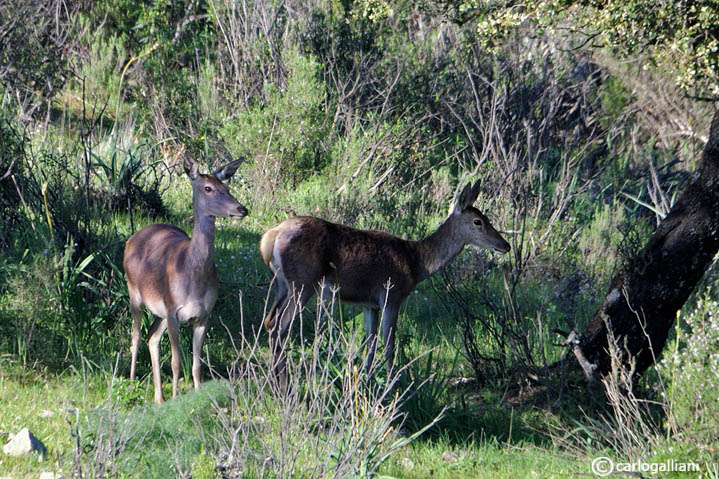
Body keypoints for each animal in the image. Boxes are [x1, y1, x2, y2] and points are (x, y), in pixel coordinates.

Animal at [124, 156, 248, 404]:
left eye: (227, 187)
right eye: (208, 188)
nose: (242, 209)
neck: (193, 280)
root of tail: (131, 239)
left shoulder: (203, 315)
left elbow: (197, 365)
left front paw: (200, 398)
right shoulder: (173, 312)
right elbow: (176, 362)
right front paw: (175, 397)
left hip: (160, 311)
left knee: (152, 337)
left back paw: (158, 397)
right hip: (134, 293)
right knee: (136, 336)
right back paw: (133, 381)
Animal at [262, 182, 510, 388]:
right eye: (478, 222)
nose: (505, 245)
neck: (416, 262)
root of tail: (270, 237)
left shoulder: (369, 304)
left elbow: (370, 345)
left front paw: (366, 380)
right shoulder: (392, 295)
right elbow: (389, 346)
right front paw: (392, 386)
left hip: (282, 283)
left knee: (269, 321)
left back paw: (274, 382)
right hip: (303, 282)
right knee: (279, 327)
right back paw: (285, 387)